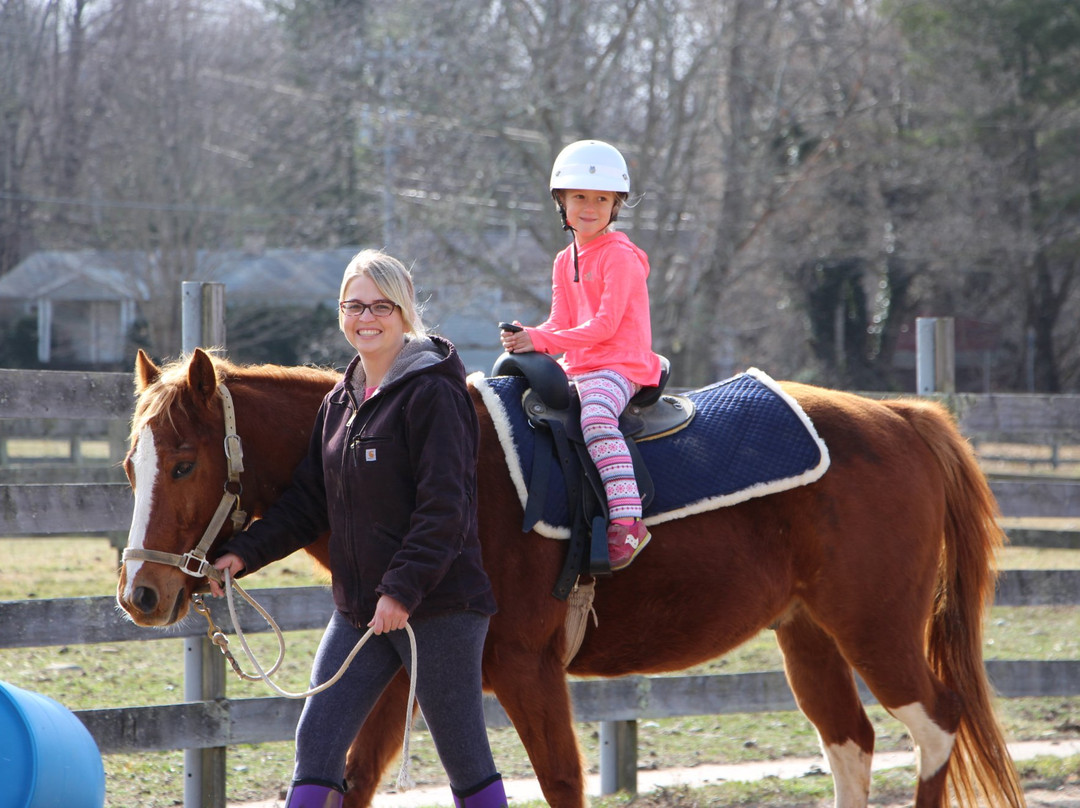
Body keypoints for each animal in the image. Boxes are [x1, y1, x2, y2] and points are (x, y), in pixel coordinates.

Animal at [113, 347, 1023, 808]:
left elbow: (558, 783)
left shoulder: (527, 673)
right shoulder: (394, 669)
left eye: (185, 461)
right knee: (853, 747)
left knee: (935, 731)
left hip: (878, 635)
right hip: (809, 640)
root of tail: (906, 419)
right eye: (131, 465)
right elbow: (349, 778)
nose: (141, 596)